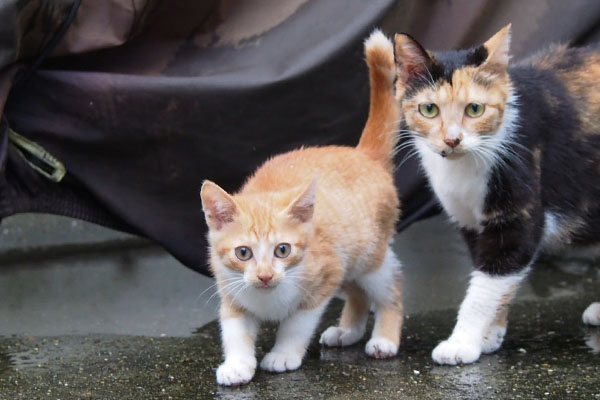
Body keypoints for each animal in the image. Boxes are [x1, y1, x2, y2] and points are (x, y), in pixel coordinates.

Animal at [202, 29, 404, 386]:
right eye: (243, 252)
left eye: (282, 250)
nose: (265, 276)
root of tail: (361, 153)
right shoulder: (230, 290)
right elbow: (235, 330)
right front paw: (238, 364)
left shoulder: (324, 275)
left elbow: (297, 324)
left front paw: (283, 354)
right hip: (347, 255)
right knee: (359, 292)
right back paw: (348, 332)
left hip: (367, 256)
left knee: (390, 285)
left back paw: (384, 339)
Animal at [392, 23, 600, 364]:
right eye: (429, 109)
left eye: (475, 109)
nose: (452, 140)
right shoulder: (471, 224)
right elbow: (493, 280)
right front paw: (489, 336)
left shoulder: (518, 218)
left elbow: (486, 287)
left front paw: (461, 343)